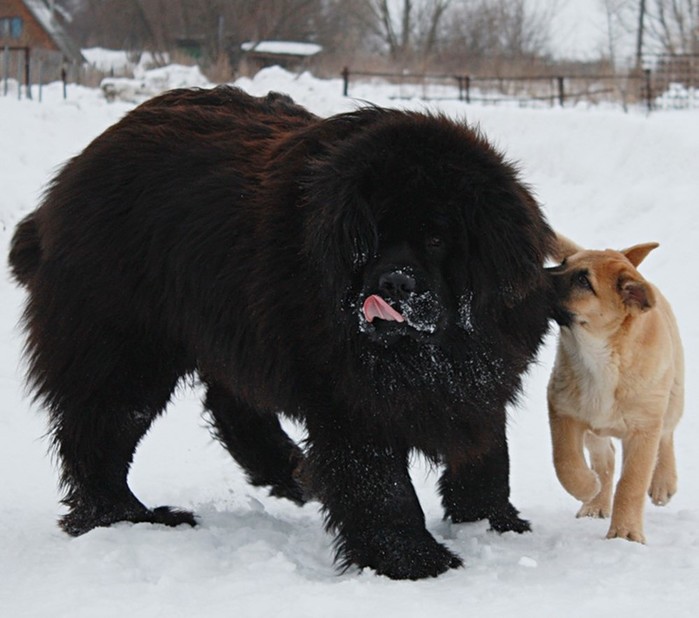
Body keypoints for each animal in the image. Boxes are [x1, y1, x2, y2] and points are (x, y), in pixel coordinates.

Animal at [9, 85, 556, 576]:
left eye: (438, 239)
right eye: (371, 238)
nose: (394, 283)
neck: (429, 350)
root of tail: (74, 174)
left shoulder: (481, 370)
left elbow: (488, 453)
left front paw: (492, 523)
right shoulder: (348, 395)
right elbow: (381, 484)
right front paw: (415, 561)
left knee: (229, 404)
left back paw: (292, 473)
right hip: (124, 349)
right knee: (99, 430)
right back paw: (128, 517)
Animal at [548, 238, 684, 540]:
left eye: (583, 281)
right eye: (563, 263)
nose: (534, 274)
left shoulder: (643, 431)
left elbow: (631, 483)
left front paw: (625, 534)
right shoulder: (562, 411)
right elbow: (565, 462)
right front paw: (587, 487)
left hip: (672, 398)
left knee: (667, 435)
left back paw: (663, 482)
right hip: (593, 430)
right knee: (605, 459)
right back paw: (596, 503)